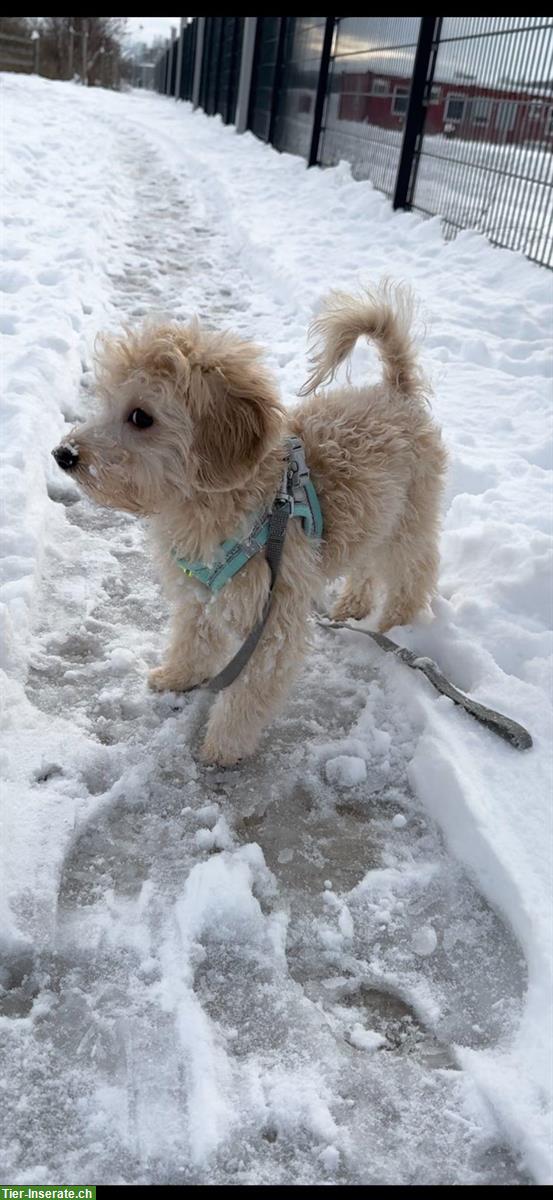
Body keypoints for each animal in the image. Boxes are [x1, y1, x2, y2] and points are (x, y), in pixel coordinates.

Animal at [51, 285, 446, 763]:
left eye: (141, 416)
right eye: (107, 402)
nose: (64, 454)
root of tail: (395, 391)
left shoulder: (272, 618)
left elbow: (248, 693)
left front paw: (222, 746)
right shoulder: (198, 594)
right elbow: (192, 640)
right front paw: (178, 676)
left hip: (409, 519)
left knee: (413, 572)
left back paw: (395, 623)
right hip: (376, 515)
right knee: (367, 562)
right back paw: (352, 604)